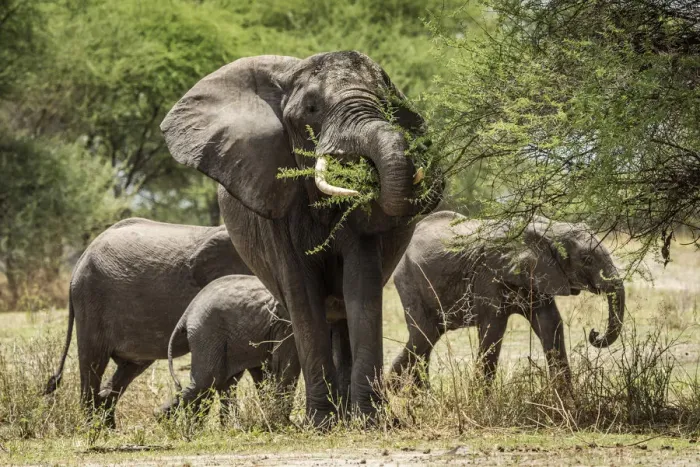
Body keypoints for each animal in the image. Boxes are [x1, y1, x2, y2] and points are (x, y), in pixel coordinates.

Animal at [44, 218, 252, 427]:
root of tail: (81, 259)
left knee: (127, 368)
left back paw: (109, 427)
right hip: (91, 300)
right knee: (92, 363)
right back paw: (93, 428)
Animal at [159, 275, 299, 424]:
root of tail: (187, 312)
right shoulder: (285, 325)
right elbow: (286, 368)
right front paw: (283, 423)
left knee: (223, 382)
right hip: (208, 333)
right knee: (207, 381)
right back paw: (165, 421)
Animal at [390, 211, 625, 389]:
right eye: (587, 260)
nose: (594, 333)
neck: (549, 229)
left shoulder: (540, 274)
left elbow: (550, 323)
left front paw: (567, 402)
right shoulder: (489, 273)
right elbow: (493, 328)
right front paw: (481, 402)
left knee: (427, 340)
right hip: (409, 281)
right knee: (423, 336)